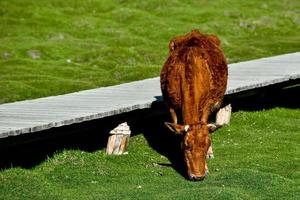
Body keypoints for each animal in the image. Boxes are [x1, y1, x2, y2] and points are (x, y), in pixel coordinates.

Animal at [159, 29, 227, 181]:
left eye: (206, 145)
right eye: (187, 146)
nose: (198, 176)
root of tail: (195, 32)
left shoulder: (208, 104)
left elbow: (206, 124)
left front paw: (208, 159)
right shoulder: (170, 103)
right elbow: (175, 126)